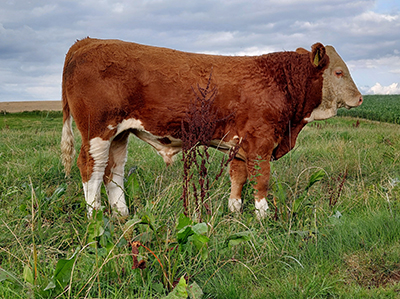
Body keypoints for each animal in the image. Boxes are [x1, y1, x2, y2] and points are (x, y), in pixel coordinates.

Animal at [60, 38, 362, 219]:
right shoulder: (261, 141)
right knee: (91, 168)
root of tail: (86, 42)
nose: (360, 98)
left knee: (114, 172)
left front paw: (235, 211)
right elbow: (261, 179)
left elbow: (238, 177)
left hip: (119, 134)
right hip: (98, 130)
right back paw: (95, 216)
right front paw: (262, 216)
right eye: (338, 72)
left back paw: (122, 214)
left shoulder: (241, 144)